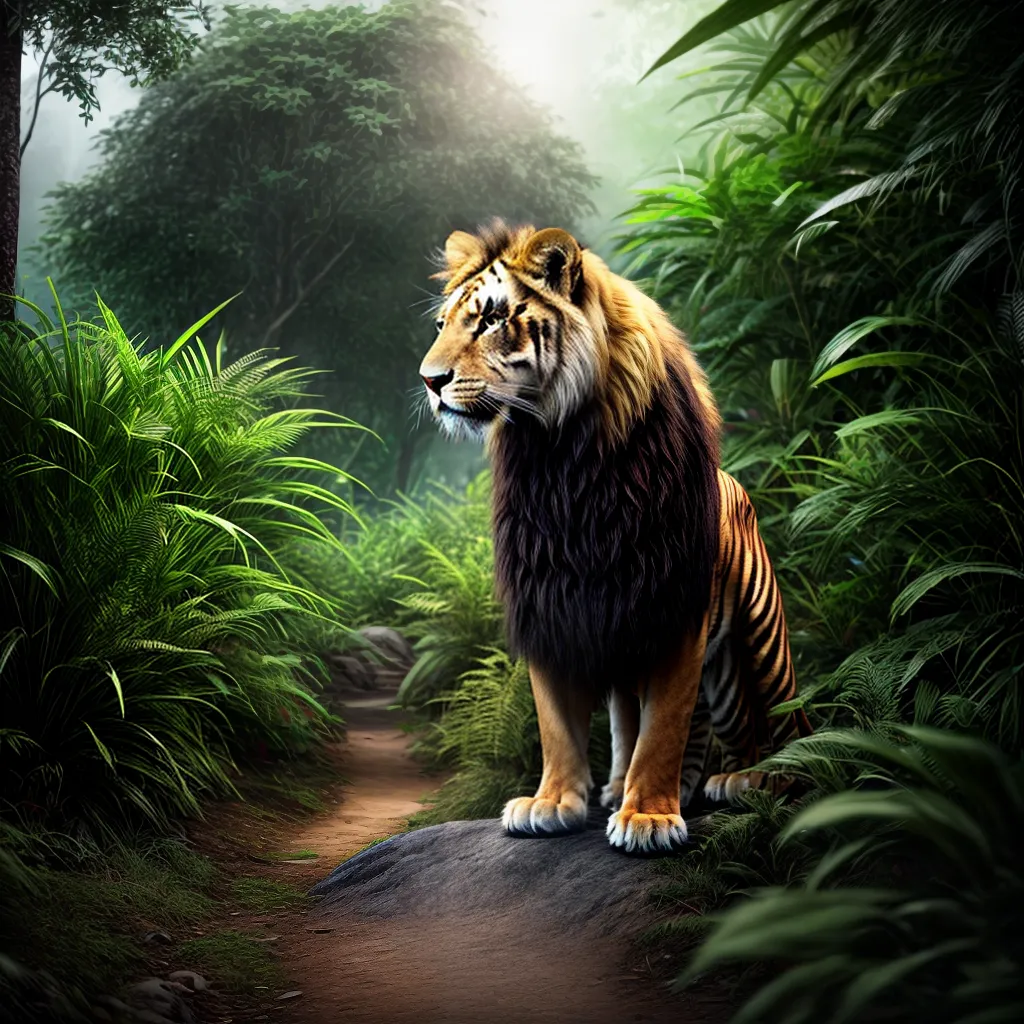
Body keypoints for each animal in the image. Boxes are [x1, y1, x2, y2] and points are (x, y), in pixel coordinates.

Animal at [418, 220, 811, 854]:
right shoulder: (549, 598)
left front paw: (648, 816)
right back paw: (620, 786)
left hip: (759, 642)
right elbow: (556, 721)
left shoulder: (675, 604)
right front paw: (552, 802)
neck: (562, 458)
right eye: (442, 324)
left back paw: (752, 778)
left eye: (493, 318)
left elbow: (665, 726)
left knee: (781, 723)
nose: (430, 381)